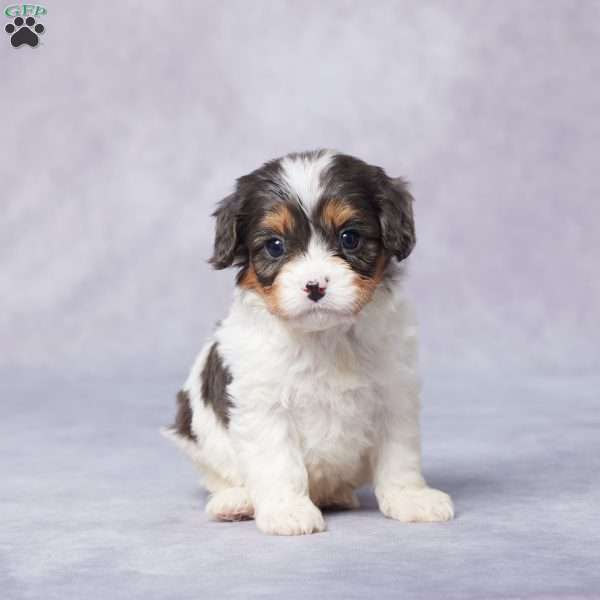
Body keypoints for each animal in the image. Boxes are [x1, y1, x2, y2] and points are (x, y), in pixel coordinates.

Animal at [164, 150, 454, 536]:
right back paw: (236, 502)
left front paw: (410, 498)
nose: (315, 286)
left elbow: (399, 456)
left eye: (350, 238)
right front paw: (287, 511)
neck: (325, 337)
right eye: (275, 246)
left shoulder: (395, 395)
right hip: (198, 439)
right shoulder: (264, 405)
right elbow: (278, 461)